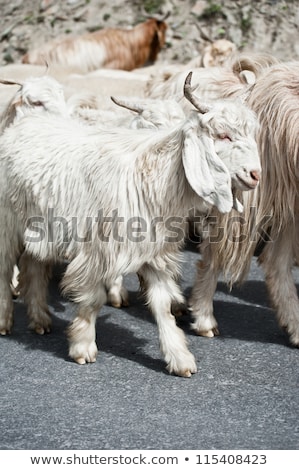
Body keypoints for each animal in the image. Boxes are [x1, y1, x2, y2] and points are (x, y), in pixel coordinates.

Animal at [0, 73, 262, 376]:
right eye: (223, 135)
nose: (255, 174)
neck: (150, 176)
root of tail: (23, 125)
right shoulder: (97, 251)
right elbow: (92, 300)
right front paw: (83, 346)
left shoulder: (154, 251)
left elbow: (162, 305)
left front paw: (179, 357)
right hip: (8, 224)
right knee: (5, 269)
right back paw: (5, 321)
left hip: (39, 228)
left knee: (34, 267)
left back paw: (40, 319)